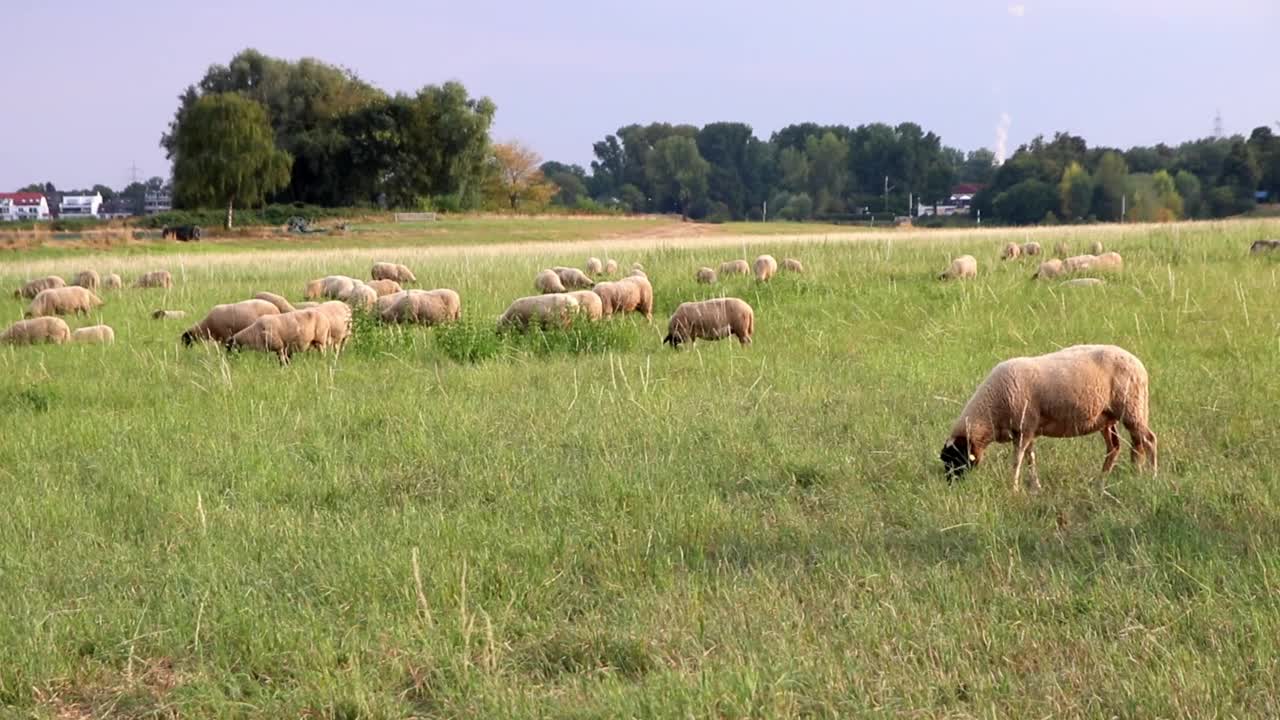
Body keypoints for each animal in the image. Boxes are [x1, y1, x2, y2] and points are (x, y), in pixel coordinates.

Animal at [942, 340, 1162, 486]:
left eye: (956, 459)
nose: (951, 484)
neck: (991, 412)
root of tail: (1138, 363)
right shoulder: (1028, 430)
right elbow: (1030, 458)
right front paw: (1035, 487)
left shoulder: (1024, 428)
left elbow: (1017, 460)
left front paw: (1013, 488)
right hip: (1107, 416)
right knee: (1117, 447)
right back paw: (1104, 479)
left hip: (1132, 408)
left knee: (1148, 440)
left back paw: (1151, 475)